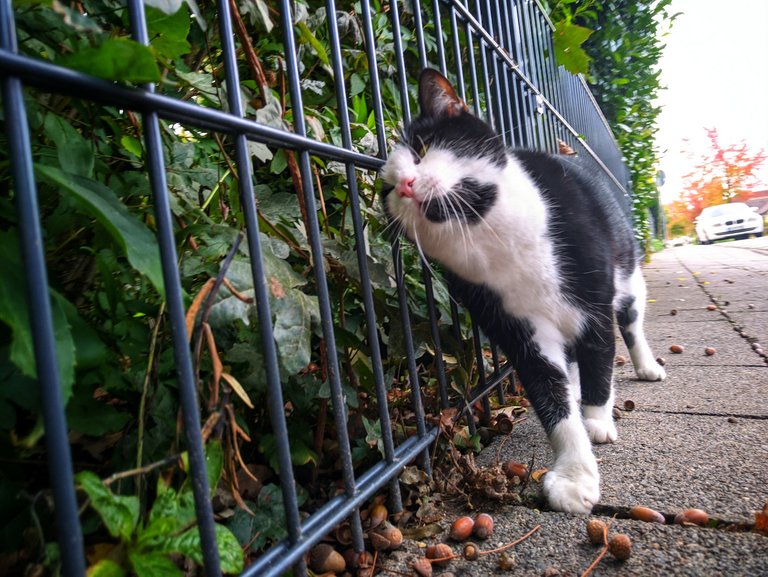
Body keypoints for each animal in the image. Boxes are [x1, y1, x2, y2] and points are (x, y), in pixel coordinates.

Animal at [380, 70, 664, 516]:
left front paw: (597, 421)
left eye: (422, 148)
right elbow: (548, 394)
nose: (405, 185)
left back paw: (645, 366)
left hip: (627, 269)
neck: (495, 238)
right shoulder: (511, 323)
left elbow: (600, 358)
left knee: (631, 321)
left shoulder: (594, 306)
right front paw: (574, 476)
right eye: (388, 190)